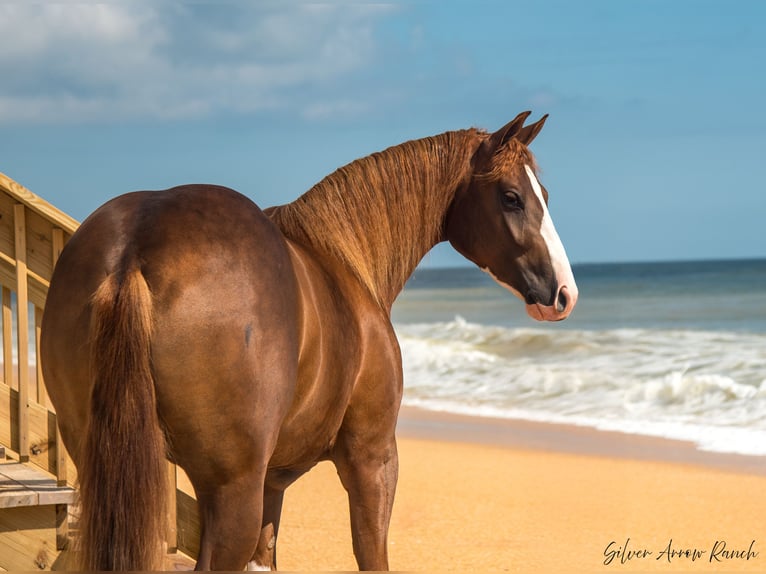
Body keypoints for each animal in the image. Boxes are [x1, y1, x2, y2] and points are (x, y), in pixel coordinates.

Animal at [39, 111, 580, 572]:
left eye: (544, 194)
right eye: (511, 197)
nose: (563, 293)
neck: (344, 259)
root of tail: (137, 247)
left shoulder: (272, 484)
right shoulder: (373, 459)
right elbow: (371, 553)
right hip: (231, 490)